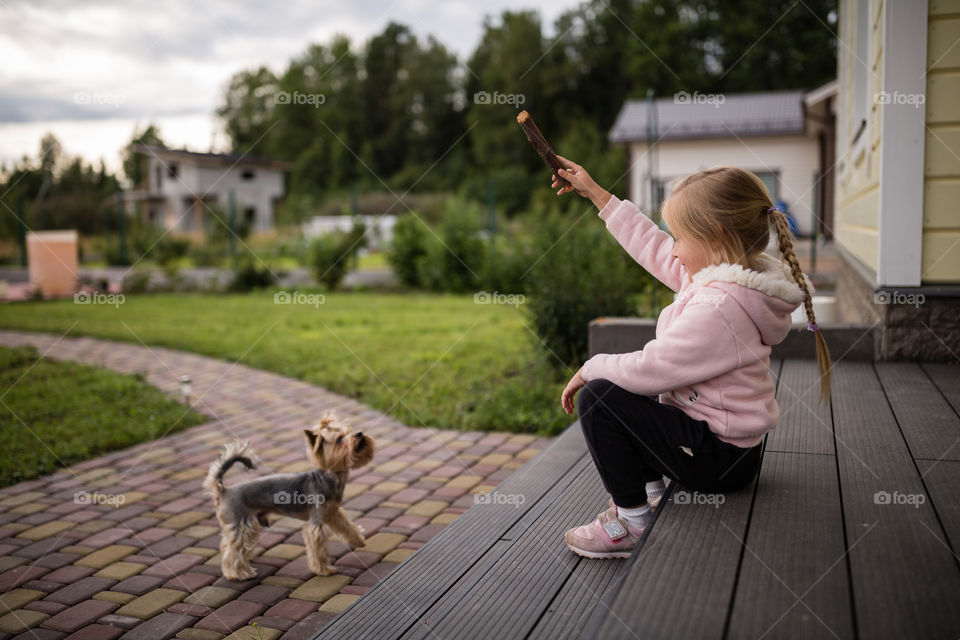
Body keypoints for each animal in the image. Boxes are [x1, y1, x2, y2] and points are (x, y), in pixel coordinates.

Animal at [203, 416, 376, 580]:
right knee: (233, 552)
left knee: (228, 546)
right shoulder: (317, 522)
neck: (330, 477)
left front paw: (358, 540)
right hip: (241, 524)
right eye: (340, 439)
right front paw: (324, 569)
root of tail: (223, 490)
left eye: (350, 431)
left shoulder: (333, 512)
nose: (360, 433)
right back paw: (239, 574)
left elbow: (347, 526)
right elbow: (318, 547)